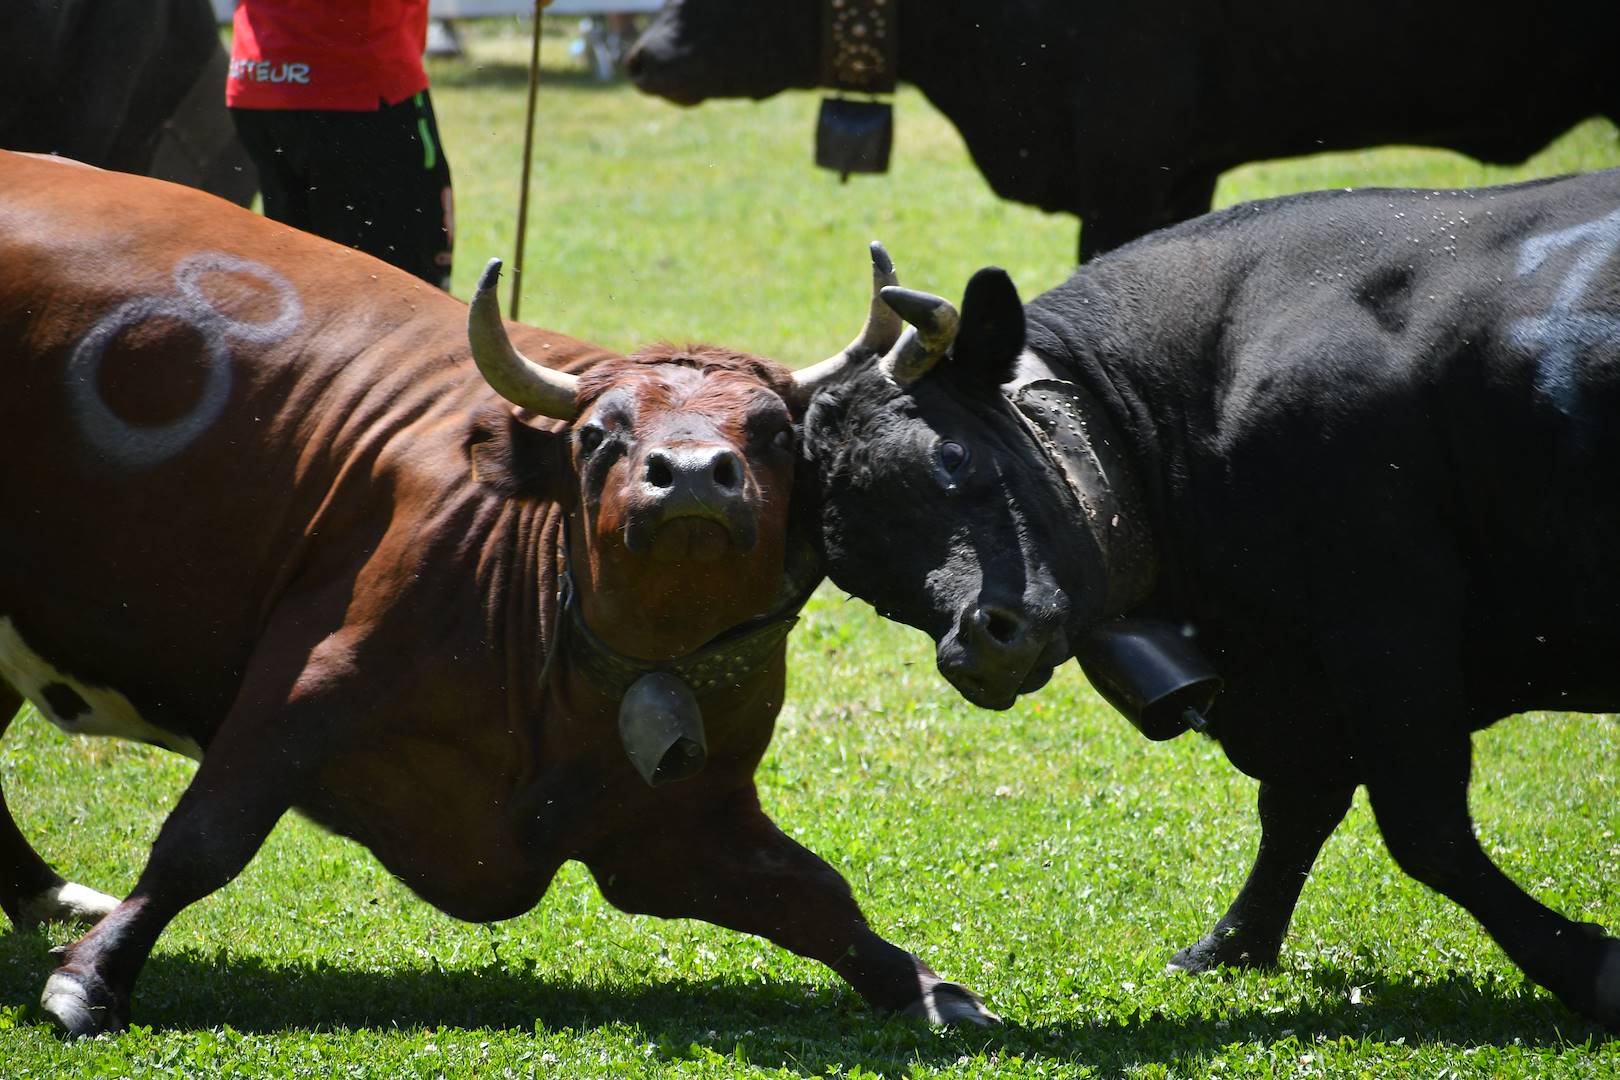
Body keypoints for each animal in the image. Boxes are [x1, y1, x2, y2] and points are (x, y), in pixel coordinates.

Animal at [0, 153, 984, 1036]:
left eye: (776, 431)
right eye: (598, 434)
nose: (694, 476)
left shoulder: (681, 825)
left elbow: (814, 894)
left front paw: (926, 988)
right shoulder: (300, 687)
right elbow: (204, 837)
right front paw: (92, 980)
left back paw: (44, 895)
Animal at [790, 165, 1620, 1029]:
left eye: (949, 456)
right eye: (863, 579)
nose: (975, 649)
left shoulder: (1388, 624)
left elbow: (1424, 828)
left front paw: (1586, 965)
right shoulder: (1311, 680)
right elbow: (1297, 808)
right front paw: (1230, 946)